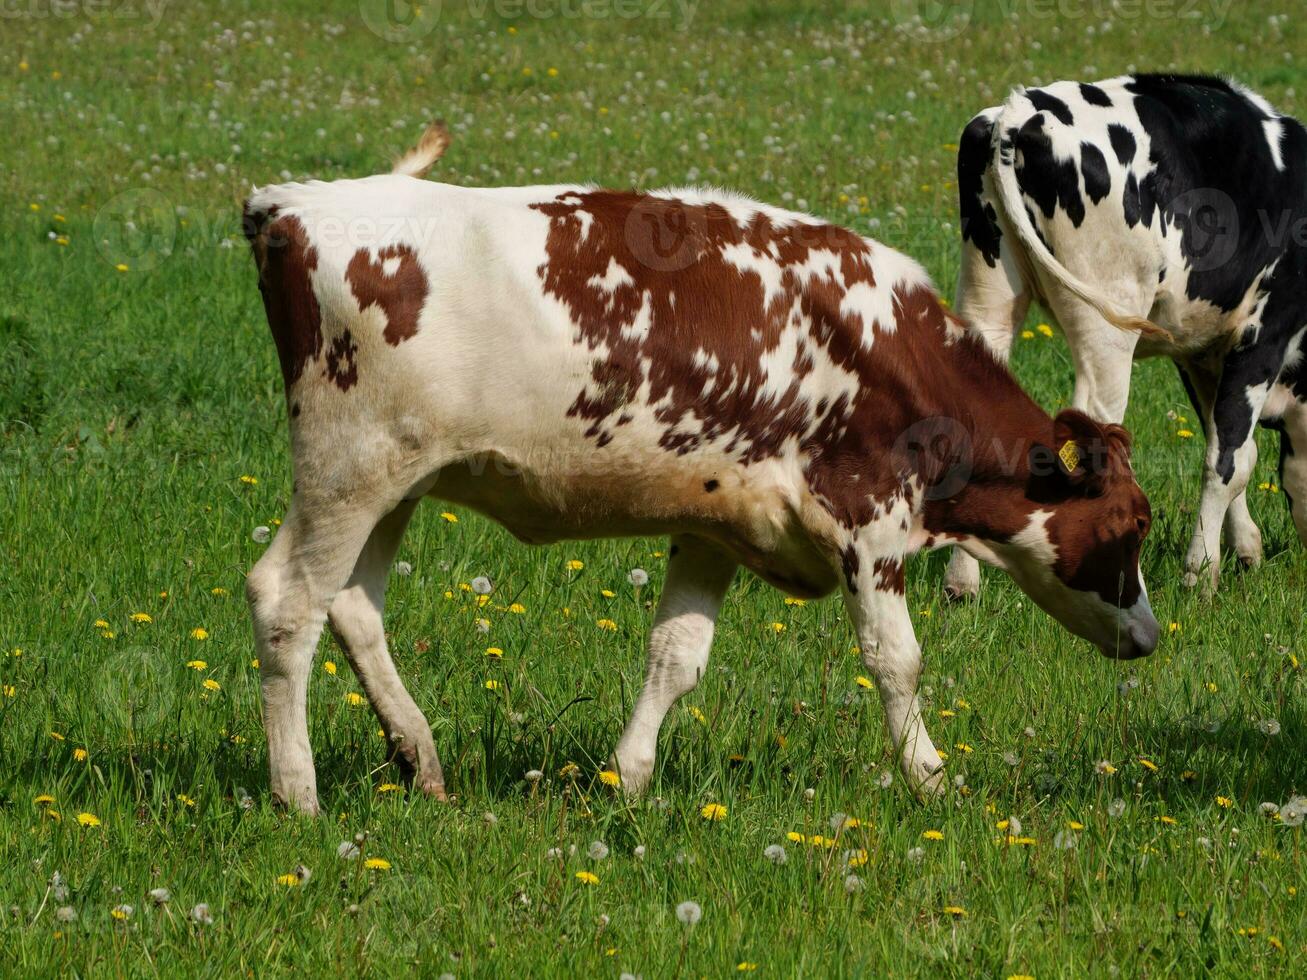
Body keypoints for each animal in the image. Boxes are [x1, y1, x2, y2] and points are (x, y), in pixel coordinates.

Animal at [240, 124, 1160, 815]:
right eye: (1132, 524)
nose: (1150, 637)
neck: (894, 354)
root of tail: (292, 205)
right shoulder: (867, 524)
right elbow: (895, 659)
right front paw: (930, 780)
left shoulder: (719, 524)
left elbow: (675, 657)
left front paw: (629, 778)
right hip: (347, 470)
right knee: (286, 602)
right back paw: (298, 793)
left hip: (396, 483)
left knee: (353, 608)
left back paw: (419, 758)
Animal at [951, 72, 1307, 595]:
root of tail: (1024, 108)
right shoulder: (1262, 336)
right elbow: (1229, 461)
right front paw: (1200, 574)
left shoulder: (1199, 353)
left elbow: (1228, 441)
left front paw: (1244, 550)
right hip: (1107, 324)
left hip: (988, 292)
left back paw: (962, 582)